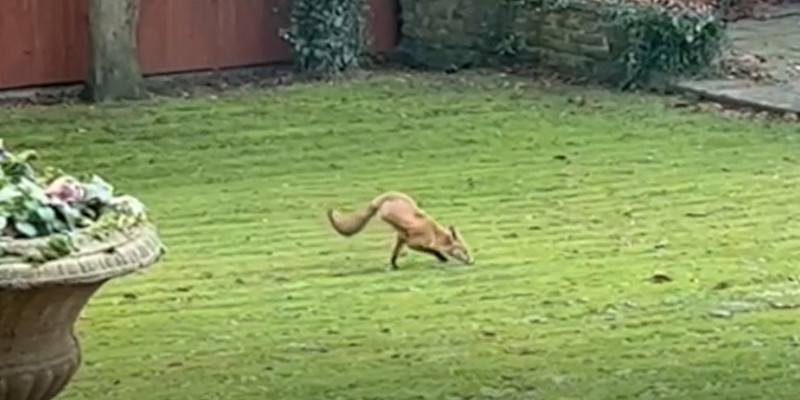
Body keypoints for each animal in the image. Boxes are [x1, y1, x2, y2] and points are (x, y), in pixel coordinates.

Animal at [326, 191, 476, 272]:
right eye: (465, 251)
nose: (472, 262)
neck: (434, 233)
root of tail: (387, 195)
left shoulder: (405, 240)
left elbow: (394, 254)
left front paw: (393, 265)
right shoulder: (414, 243)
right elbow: (432, 250)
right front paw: (442, 258)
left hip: (399, 234)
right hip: (389, 217)